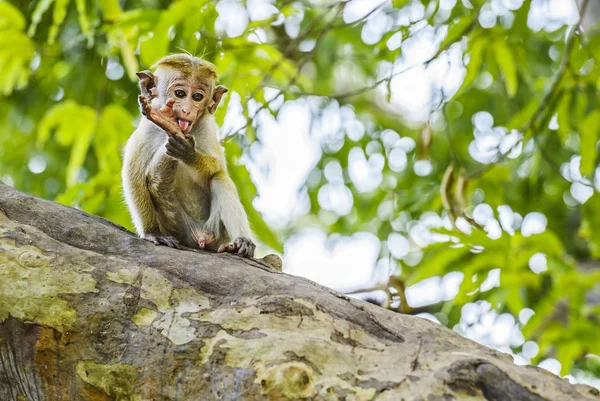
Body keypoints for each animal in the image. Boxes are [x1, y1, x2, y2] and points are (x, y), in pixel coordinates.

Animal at [122, 53, 255, 256]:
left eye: (198, 96)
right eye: (180, 93)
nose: (187, 110)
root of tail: (200, 236)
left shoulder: (207, 128)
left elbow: (218, 167)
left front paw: (188, 154)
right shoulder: (144, 134)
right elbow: (133, 176)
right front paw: (152, 232)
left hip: (217, 232)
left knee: (220, 179)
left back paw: (242, 243)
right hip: (178, 226)